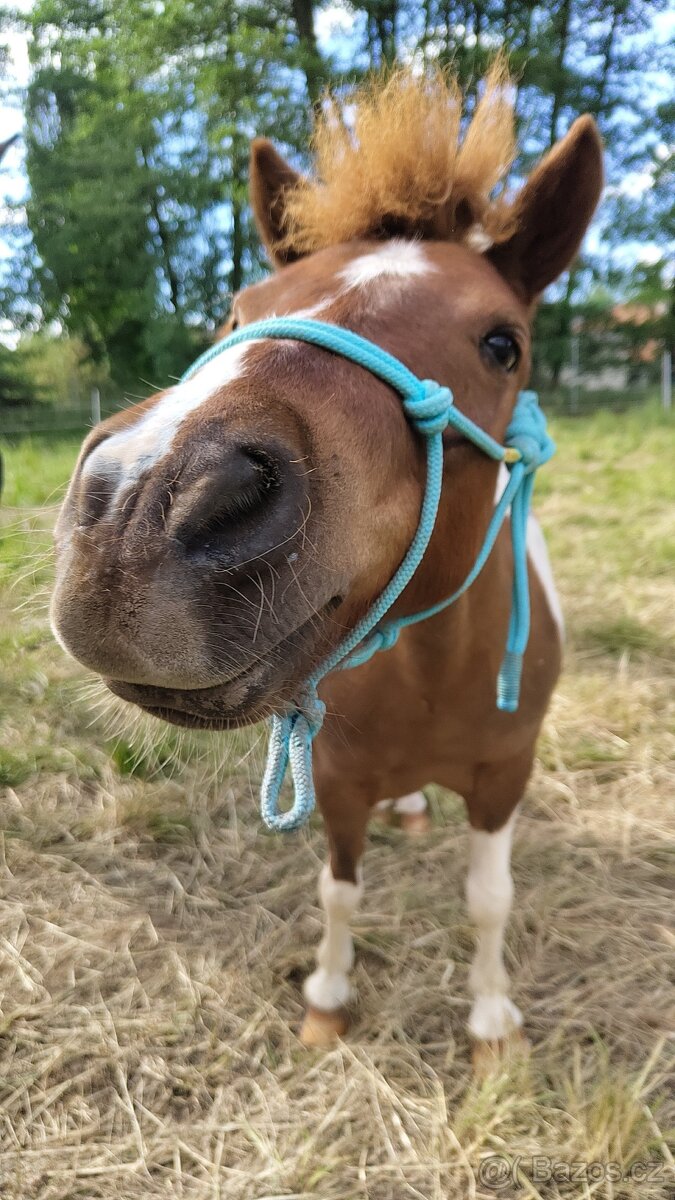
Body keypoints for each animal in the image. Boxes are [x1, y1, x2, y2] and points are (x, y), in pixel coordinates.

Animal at [50, 66, 603, 1060]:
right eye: (241, 310)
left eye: (502, 342)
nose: (143, 507)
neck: (432, 673)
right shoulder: (338, 781)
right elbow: (338, 893)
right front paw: (328, 1000)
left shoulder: (505, 776)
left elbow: (488, 900)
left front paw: (490, 1020)